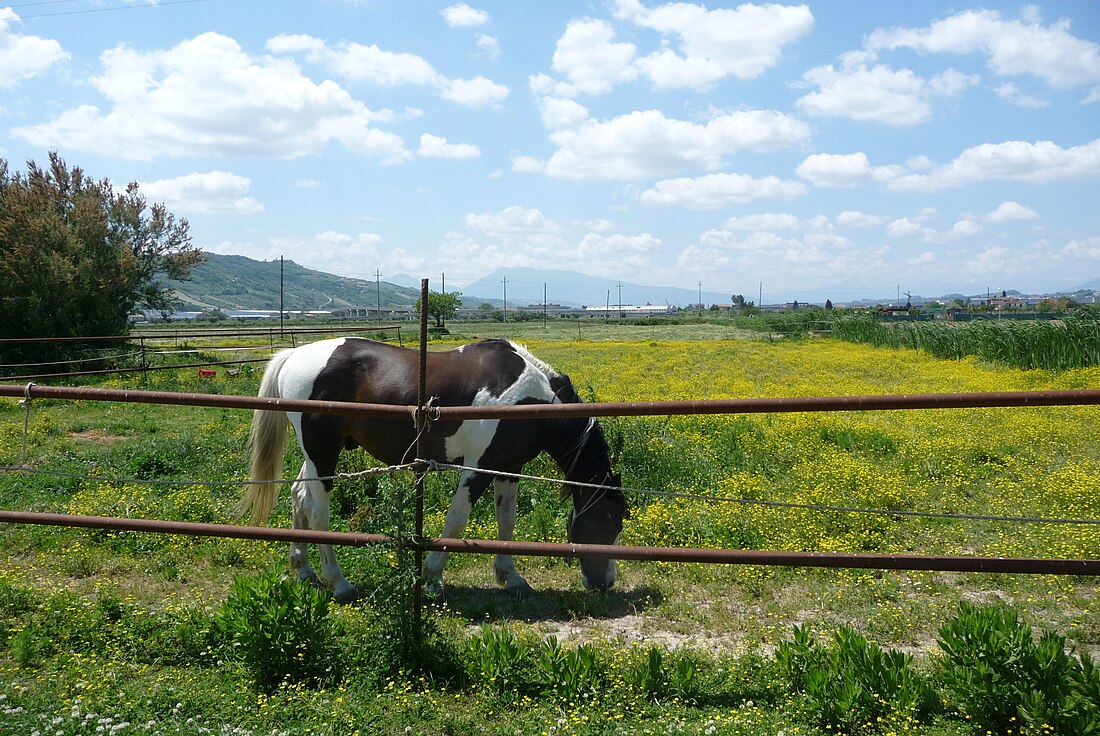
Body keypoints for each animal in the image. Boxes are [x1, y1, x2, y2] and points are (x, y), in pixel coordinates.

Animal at [238, 338, 629, 602]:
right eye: (611, 522)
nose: (606, 583)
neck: (530, 400)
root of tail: (295, 355)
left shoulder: (508, 468)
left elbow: (506, 521)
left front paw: (511, 576)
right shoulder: (478, 467)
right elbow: (456, 521)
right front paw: (431, 578)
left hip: (314, 455)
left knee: (298, 496)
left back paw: (304, 570)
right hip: (323, 453)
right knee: (317, 510)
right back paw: (340, 583)